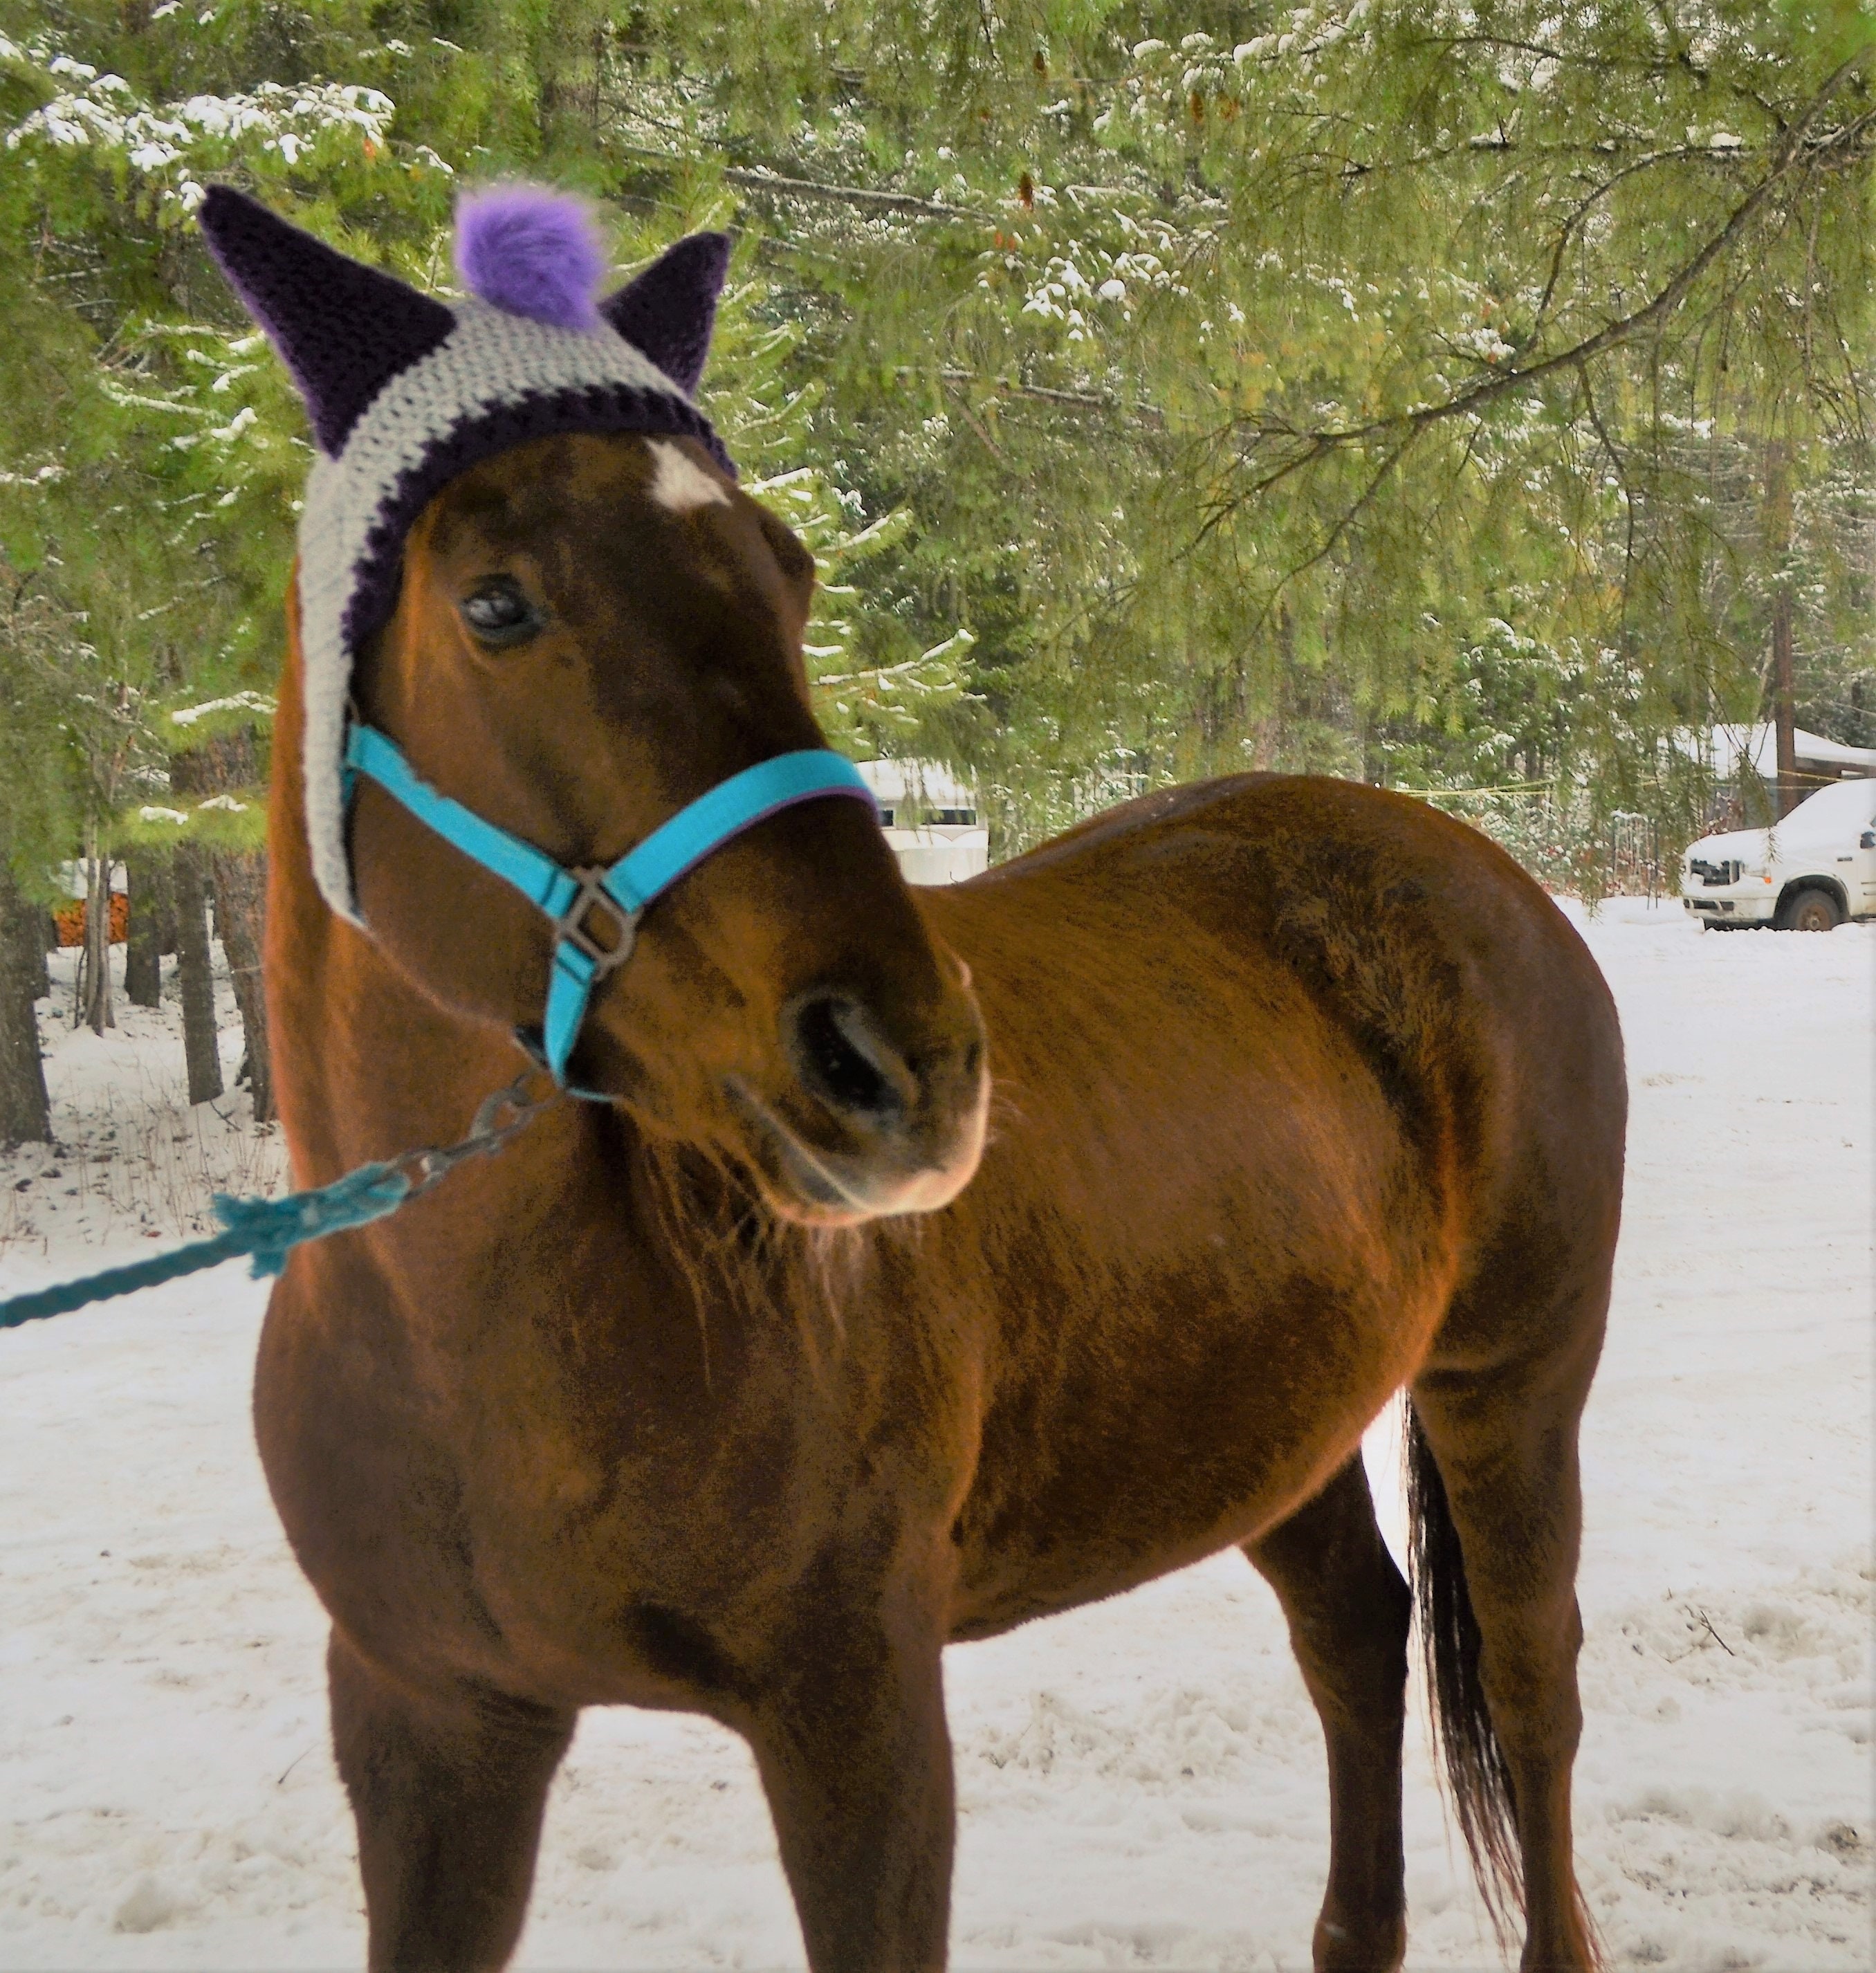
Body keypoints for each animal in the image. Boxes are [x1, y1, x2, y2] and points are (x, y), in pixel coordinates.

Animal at [256, 426, 1624, 1973]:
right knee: (1353, 1634)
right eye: (495, 604)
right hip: (1275, 1417)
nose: (905, 1062)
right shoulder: (431, 1730)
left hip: (1509, 1384)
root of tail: (1491, 874)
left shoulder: (858, 1719)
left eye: (786, 573)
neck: (468, 1346)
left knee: (1530, 1684)